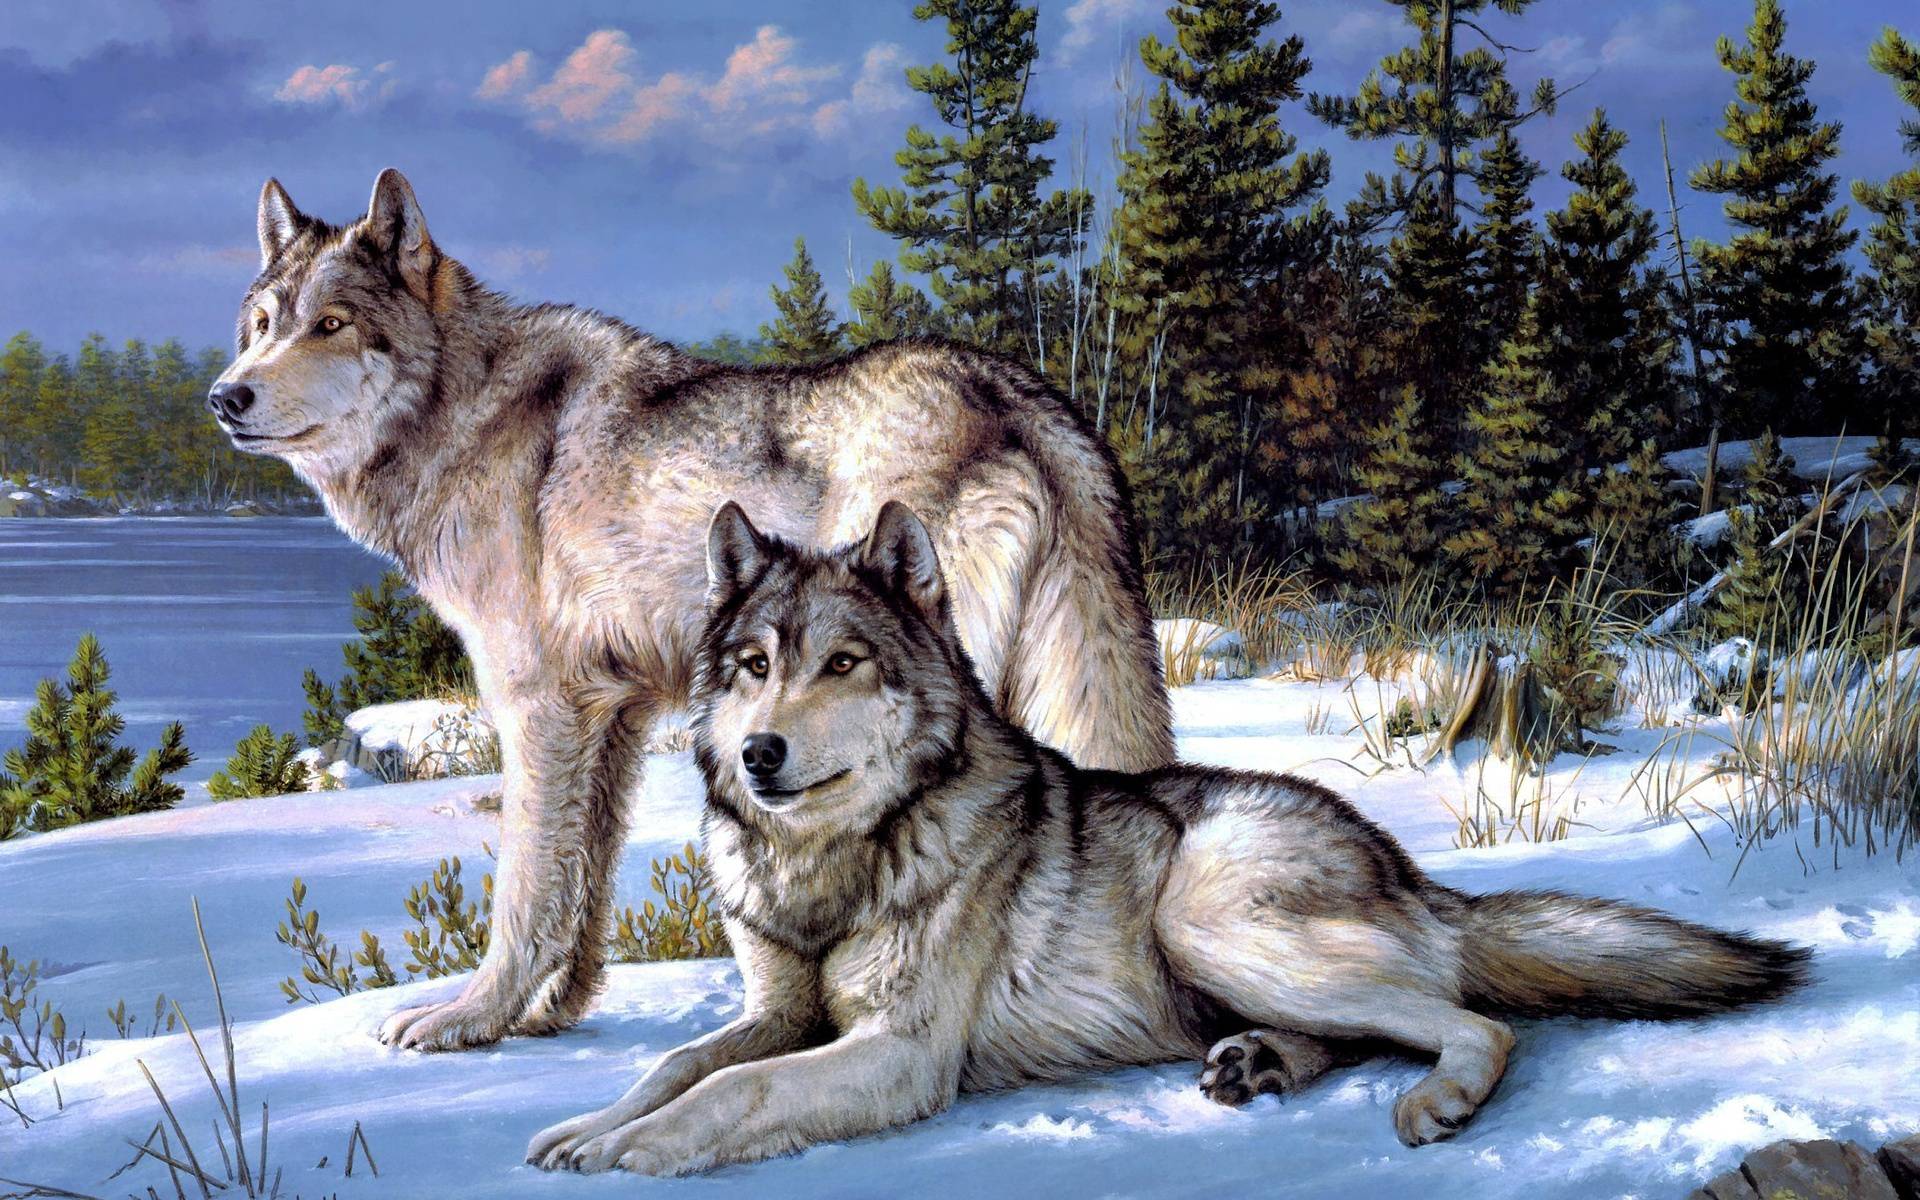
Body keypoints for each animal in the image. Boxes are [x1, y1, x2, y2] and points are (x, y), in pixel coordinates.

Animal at [207, 169, 1174, 1052]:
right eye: (262, 327)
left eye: (332, 325)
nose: (225, 396)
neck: (463, 412)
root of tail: (1019, 393)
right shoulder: (612, 715)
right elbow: (583, 886)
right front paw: (550, 1014)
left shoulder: (536, 709)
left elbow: (524, 890)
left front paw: (470, 1020)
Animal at [526, 500, 1810, 1175]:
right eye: (753, 667)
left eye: (841, 663)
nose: (759, 755)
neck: (834, 866)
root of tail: (1406, 868)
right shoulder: (778, 1013)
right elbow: (674, 1066)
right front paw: (585, 1124)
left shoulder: (898, 1053)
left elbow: (732, 1095)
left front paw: (629, 1150)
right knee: (1372, 1027)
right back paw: (1261, 1066)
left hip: (1206, 919)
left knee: (1477, 1024)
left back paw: (1431, 1103)